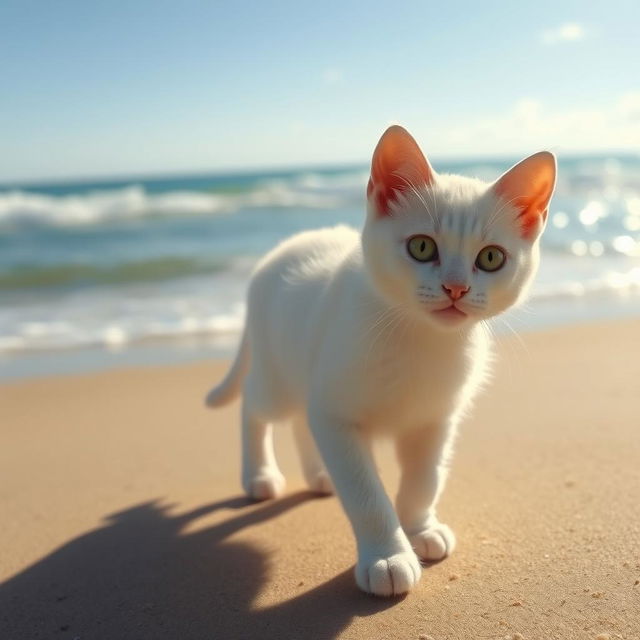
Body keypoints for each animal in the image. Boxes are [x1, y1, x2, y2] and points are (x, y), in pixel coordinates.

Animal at [205, 125, 556, 596]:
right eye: (422, 247)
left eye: (491, 258)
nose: (456, 288)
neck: (420, 340)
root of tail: (277, 253)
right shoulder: (337, 415)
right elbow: (365, 493)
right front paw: (387, 556)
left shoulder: (435, 419)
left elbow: (425, 479)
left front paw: (421, 528)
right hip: (278, 373)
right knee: (256, 406)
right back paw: (259, 475)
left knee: (300, 418)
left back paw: (319, 476)